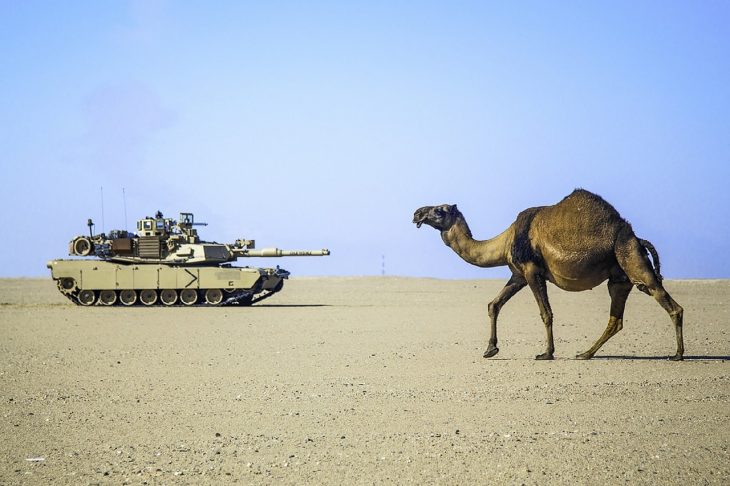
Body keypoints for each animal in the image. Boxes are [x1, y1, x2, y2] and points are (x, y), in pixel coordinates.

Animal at [412, 189, 684, 361]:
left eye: (439, 210)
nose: (416, 212)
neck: (506, 241)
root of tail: (637, 238)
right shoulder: (518, 274)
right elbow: (494, 305)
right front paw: (490, 349)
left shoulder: (532, 271)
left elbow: (546, 313)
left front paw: (546, 353)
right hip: (619, 276)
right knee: (616, 318)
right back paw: (585, 353)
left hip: (630, 257)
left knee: (667, 301)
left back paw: (678, 354)